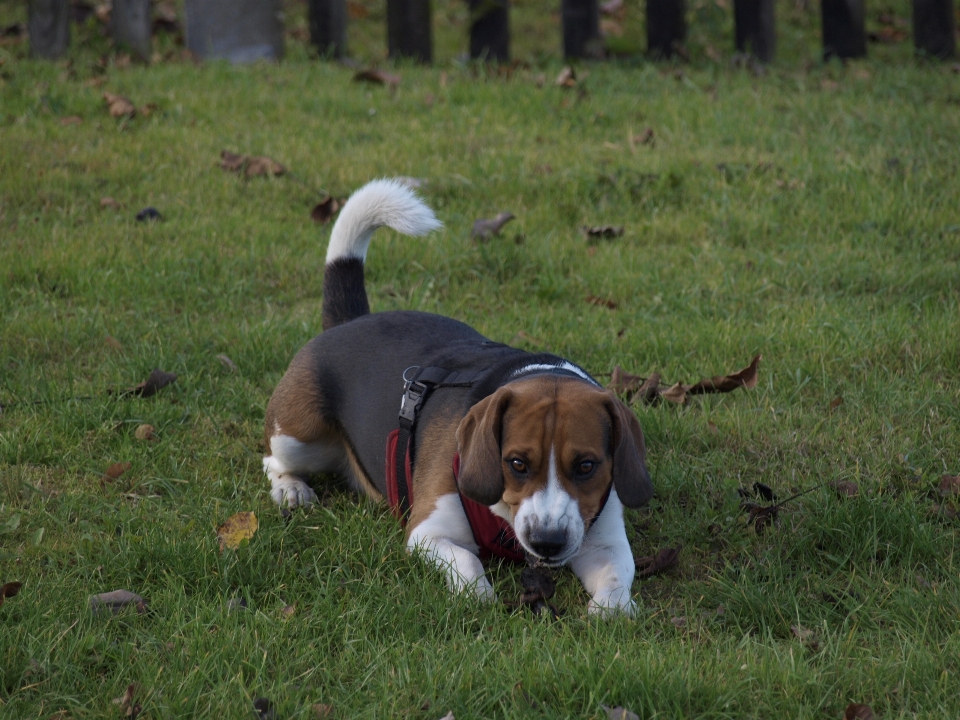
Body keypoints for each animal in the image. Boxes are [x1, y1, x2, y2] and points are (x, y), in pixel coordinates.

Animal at [262, 179, 652, 612]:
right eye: (516, 463)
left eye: (586, 466)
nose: (547, 542)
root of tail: (350, 320)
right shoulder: (428, 532)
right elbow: (466, 560)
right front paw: (478, 595)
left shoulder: (604, 541)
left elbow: (616, 579)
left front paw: (611, 610)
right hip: (298, 435)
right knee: (272, 459)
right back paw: (291, 489)